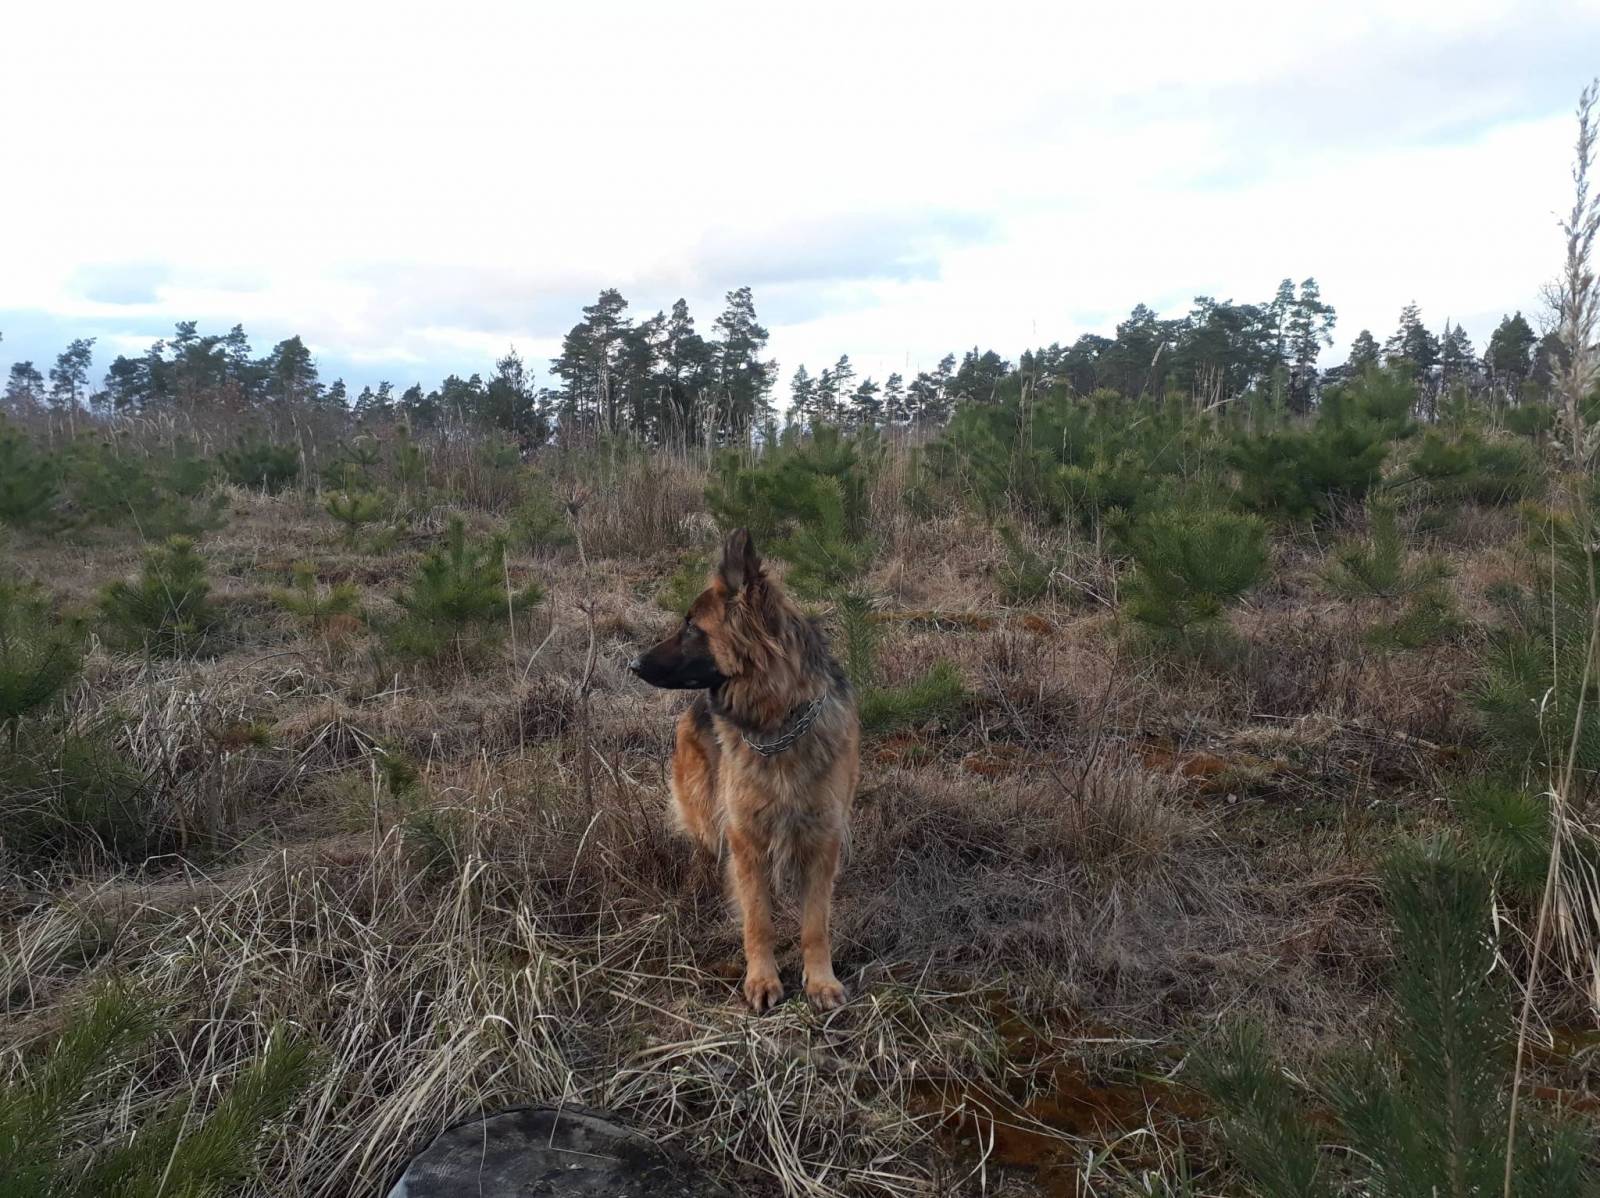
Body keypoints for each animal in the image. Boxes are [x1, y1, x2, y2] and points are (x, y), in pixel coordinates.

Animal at [629, 529, 860, 1011]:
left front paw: (820, 981)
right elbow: (758, 920)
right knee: (705, 849)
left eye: (692, 626)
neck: (778, 724)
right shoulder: (745, 839)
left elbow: (815, 924)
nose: (633, 664)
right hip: (706, 814)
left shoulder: (823, 839)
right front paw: (762, 979)